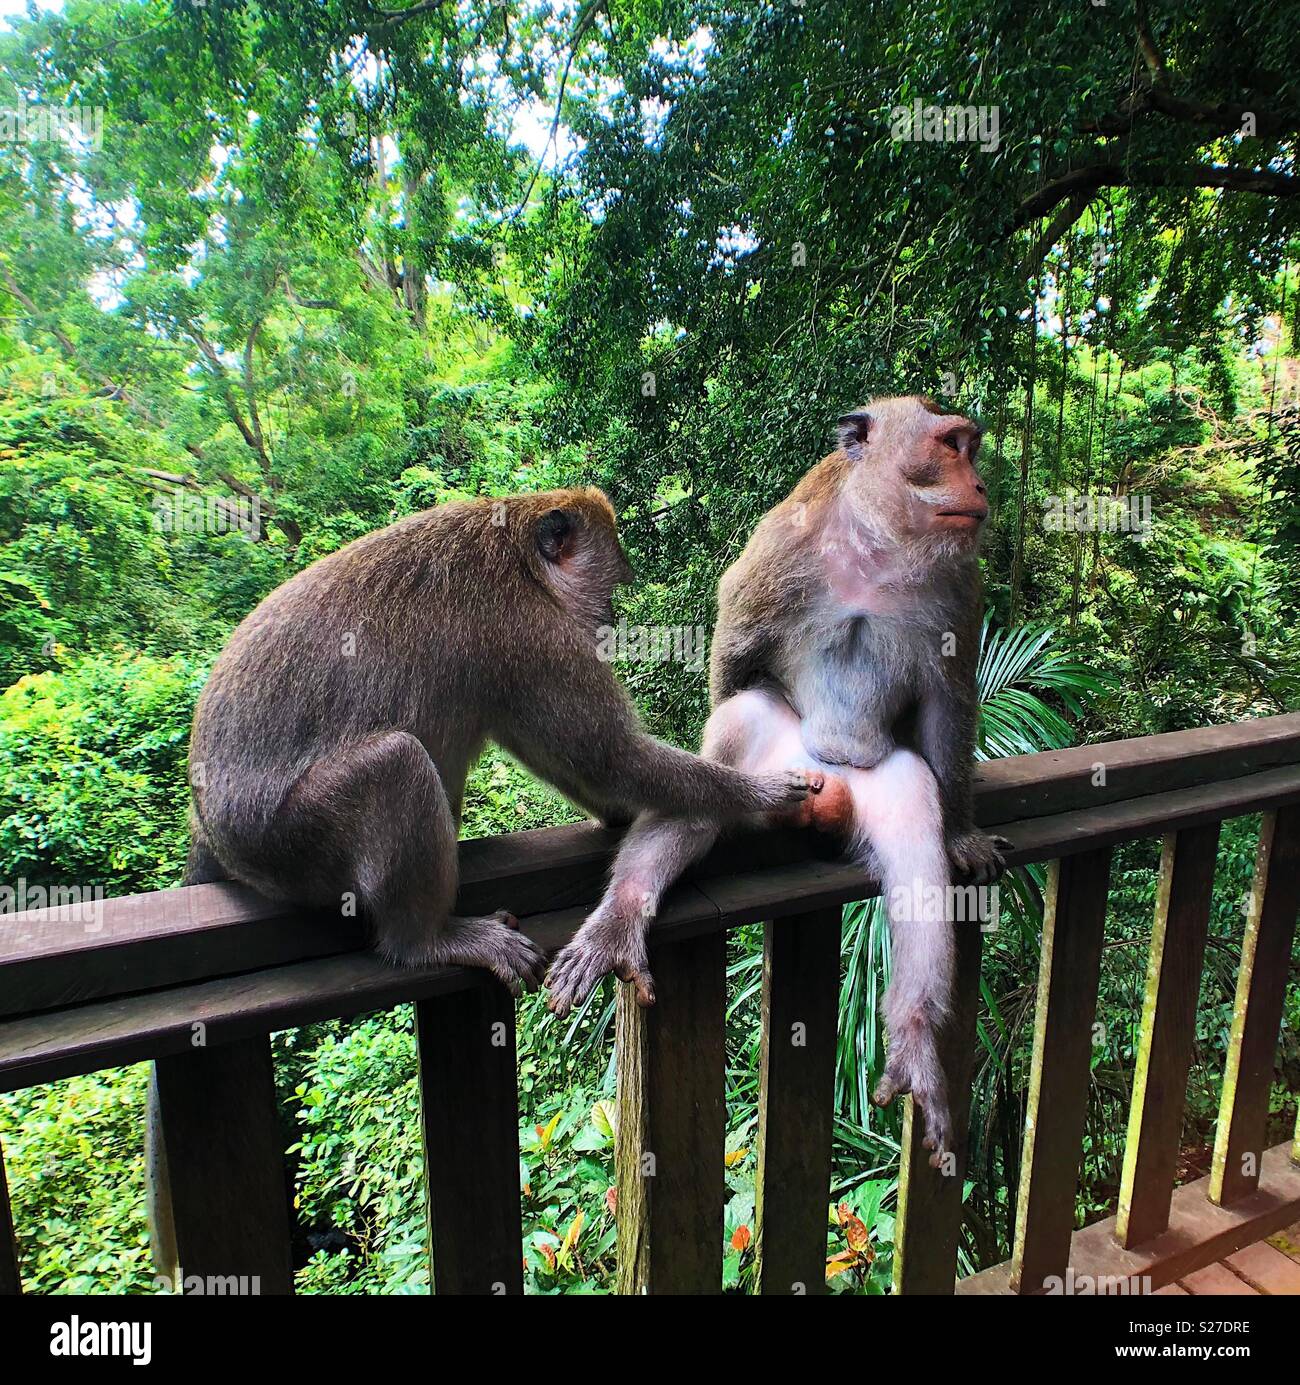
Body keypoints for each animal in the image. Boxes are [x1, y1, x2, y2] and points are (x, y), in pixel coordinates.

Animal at [185, 486, 818, 993]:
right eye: (612, 586)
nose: (610, 620)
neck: (520, 560)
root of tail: (207, 819)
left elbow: (577, 762)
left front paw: (627, 815)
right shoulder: (533, 632)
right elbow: (609, 757)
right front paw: (763, 792)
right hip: (282, 840)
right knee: (396, 764)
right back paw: (424, 940)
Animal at [545, 398, 1008, 1164]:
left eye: (971, 447)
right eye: (950, 445)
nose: (979, 484)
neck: (878, 546)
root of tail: (829, 793)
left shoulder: (959, 580)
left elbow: (948, 696)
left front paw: (965, 830)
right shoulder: (781, 546)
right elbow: (734, 646)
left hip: (879, 781)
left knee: (916, 830)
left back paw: (914, 1034)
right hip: (777, 764)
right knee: (732, 734)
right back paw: (624, 911)